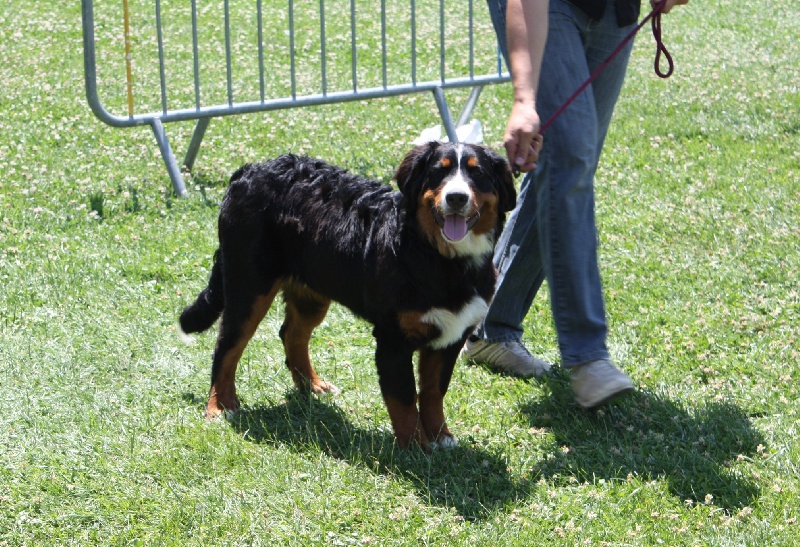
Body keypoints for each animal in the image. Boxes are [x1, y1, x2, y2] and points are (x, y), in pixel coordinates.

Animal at [179, 141, 517, 449]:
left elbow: (433, 392)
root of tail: (250, 170)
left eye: (477, 173)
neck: (442, 259)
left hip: (312, 293)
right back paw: (220, 405)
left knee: (292, 335)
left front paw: (440, 436)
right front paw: (414, 447)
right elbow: (404, 399)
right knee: (227, 345)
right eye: (439, 171)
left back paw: (313, 386)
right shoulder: (393, 339)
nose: (456, 197)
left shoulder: (451, 335)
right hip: (249, 286)